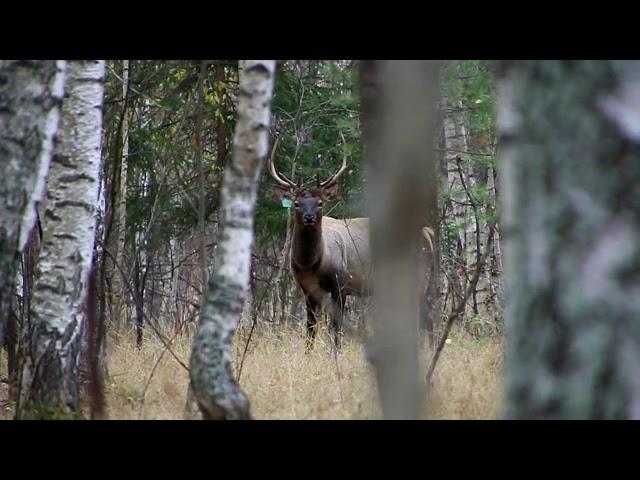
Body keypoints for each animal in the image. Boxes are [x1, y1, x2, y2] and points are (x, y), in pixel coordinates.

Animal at [264, 132, 436, 348]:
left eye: (320, 203)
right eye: (296, 203)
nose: (309, 218)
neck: (313, 263)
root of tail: (427, 232)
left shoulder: (342, 282)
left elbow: (336, 328)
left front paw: (335, 353)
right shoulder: (307, 289)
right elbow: (310, 330)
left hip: (418, 276)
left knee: (424, 318)